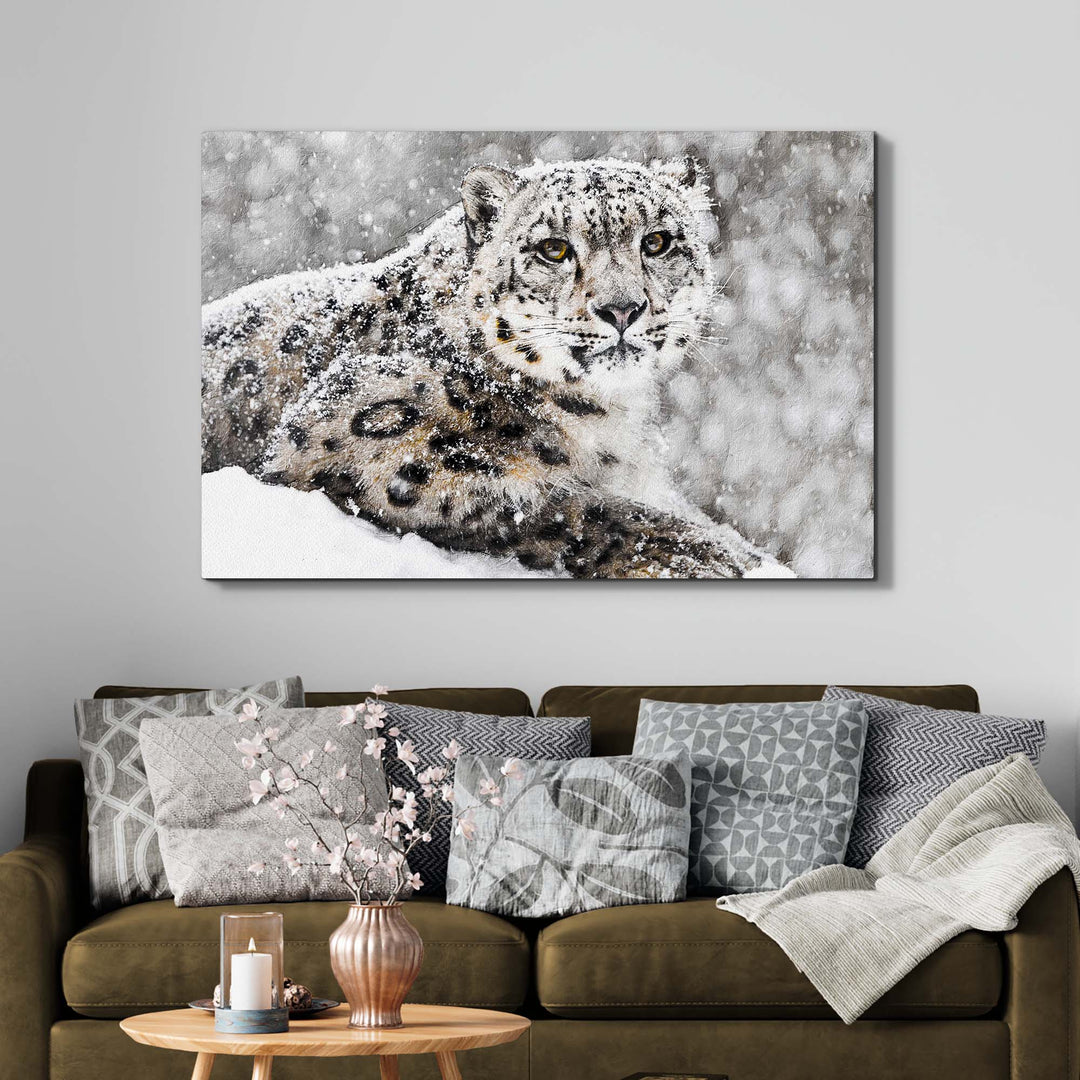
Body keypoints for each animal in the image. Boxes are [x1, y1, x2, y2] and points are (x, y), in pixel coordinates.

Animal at [201, 156, 792, 578]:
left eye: (658, 241)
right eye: (553, 248)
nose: (622, 308)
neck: (607, 419)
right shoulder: (364, 441)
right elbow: (551, 506)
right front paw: (708, 555)